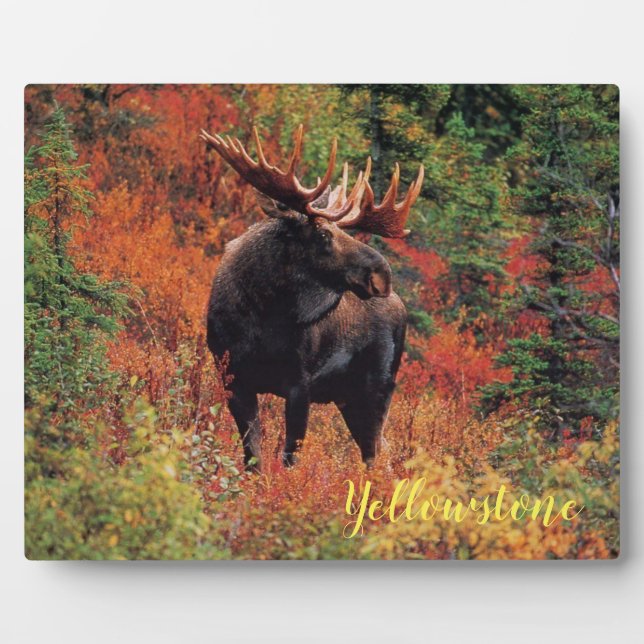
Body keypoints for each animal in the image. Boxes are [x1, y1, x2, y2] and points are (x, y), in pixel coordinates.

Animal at [200, 124, 424, 471]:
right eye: (323, 234)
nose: (381, 274)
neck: (259, 317)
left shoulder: (299, 384)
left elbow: (290, 458)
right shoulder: (232, 377)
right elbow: (253, 455)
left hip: (378, 387)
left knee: (376, 453)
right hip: (348, 397)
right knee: (381, 451)